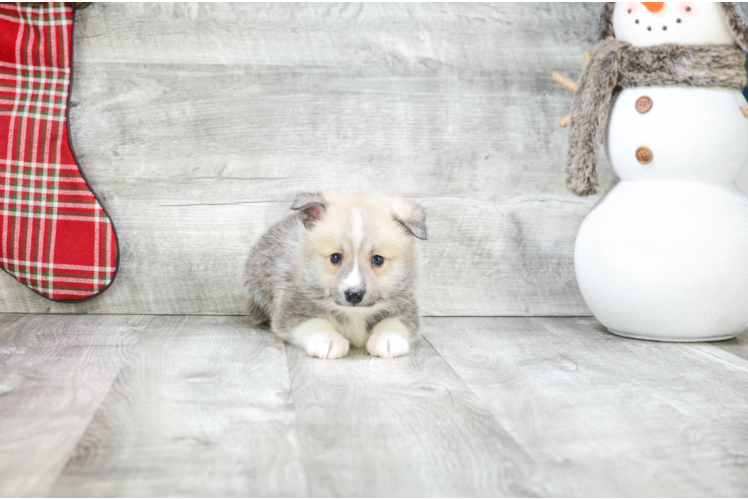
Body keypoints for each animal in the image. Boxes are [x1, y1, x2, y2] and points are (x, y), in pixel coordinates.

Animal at [243, 191, 424, 360]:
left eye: (378, 259)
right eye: (335, 257)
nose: (354, 295)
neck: (355, 313)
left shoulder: (406, 310)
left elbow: (393, 322)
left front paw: (388, 338)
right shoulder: (290, 312)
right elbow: (315, 322)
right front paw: (327, 340)